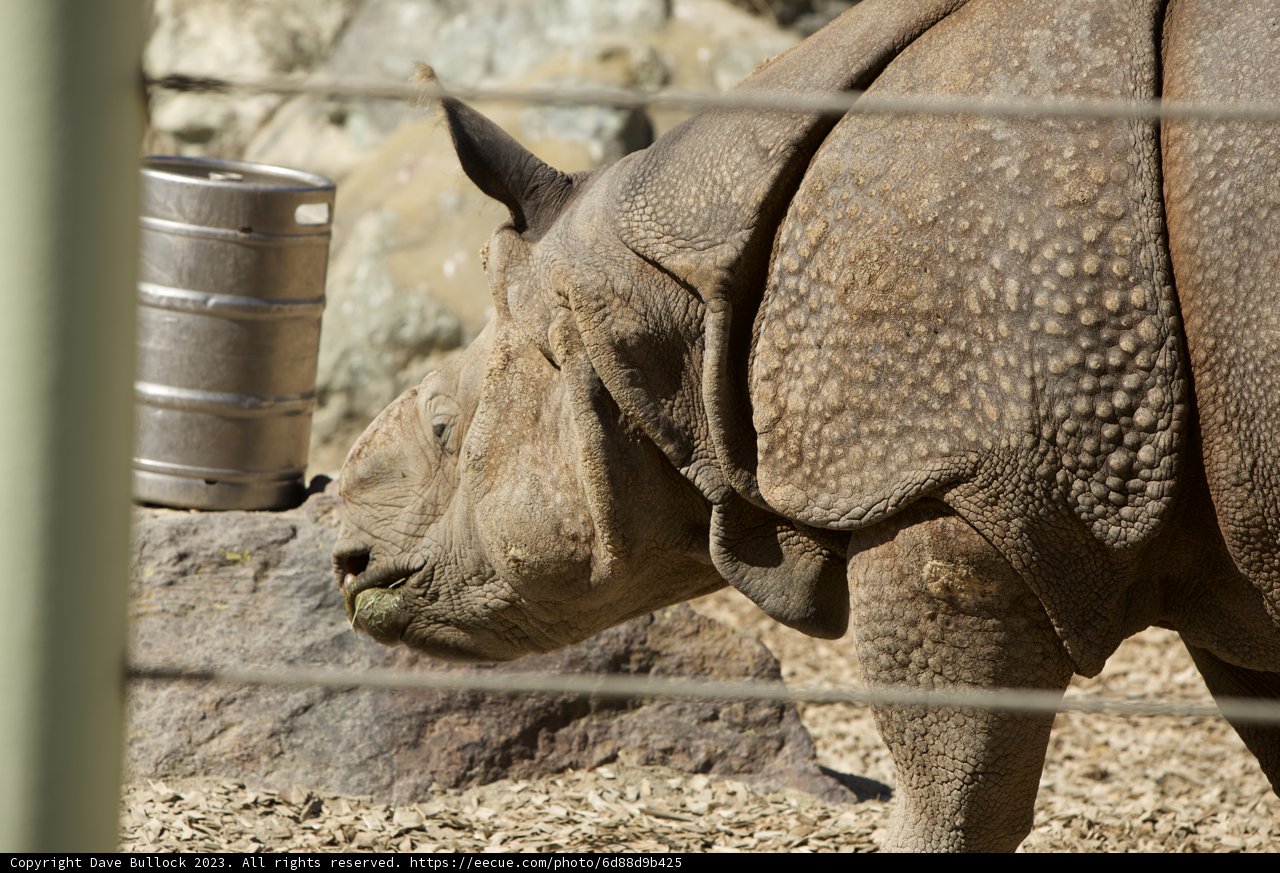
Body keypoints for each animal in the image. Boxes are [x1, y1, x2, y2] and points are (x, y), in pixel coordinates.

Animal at [333, 0, 1280, 851]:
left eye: (445, 427)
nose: (345, 560)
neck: (672, 305)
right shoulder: (1218, 555)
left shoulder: (950, 478)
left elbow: (955, 796)